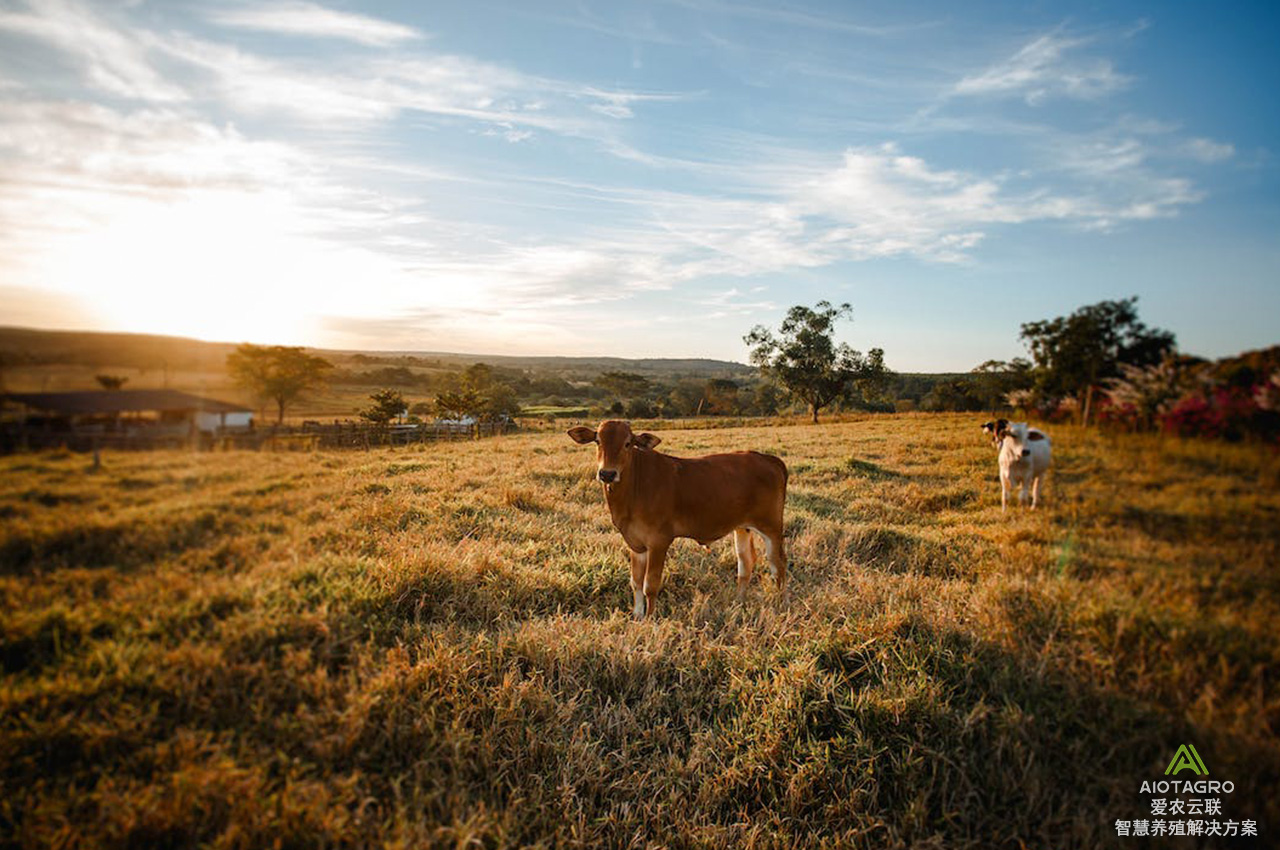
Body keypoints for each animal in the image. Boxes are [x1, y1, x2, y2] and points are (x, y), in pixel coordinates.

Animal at [568, 417, 783, 617]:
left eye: (628, 443)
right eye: (597, 441)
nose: (607, 474)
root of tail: (770, 459)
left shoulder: (659, 541)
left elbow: (650, 585)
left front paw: (650, 618)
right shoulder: (635, 544)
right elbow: (635, 582)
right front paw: (637, 615)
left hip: (771, 527)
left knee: (778, 565)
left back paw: (781, 603)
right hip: (742, 527)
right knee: (745, 564)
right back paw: (739, 603)